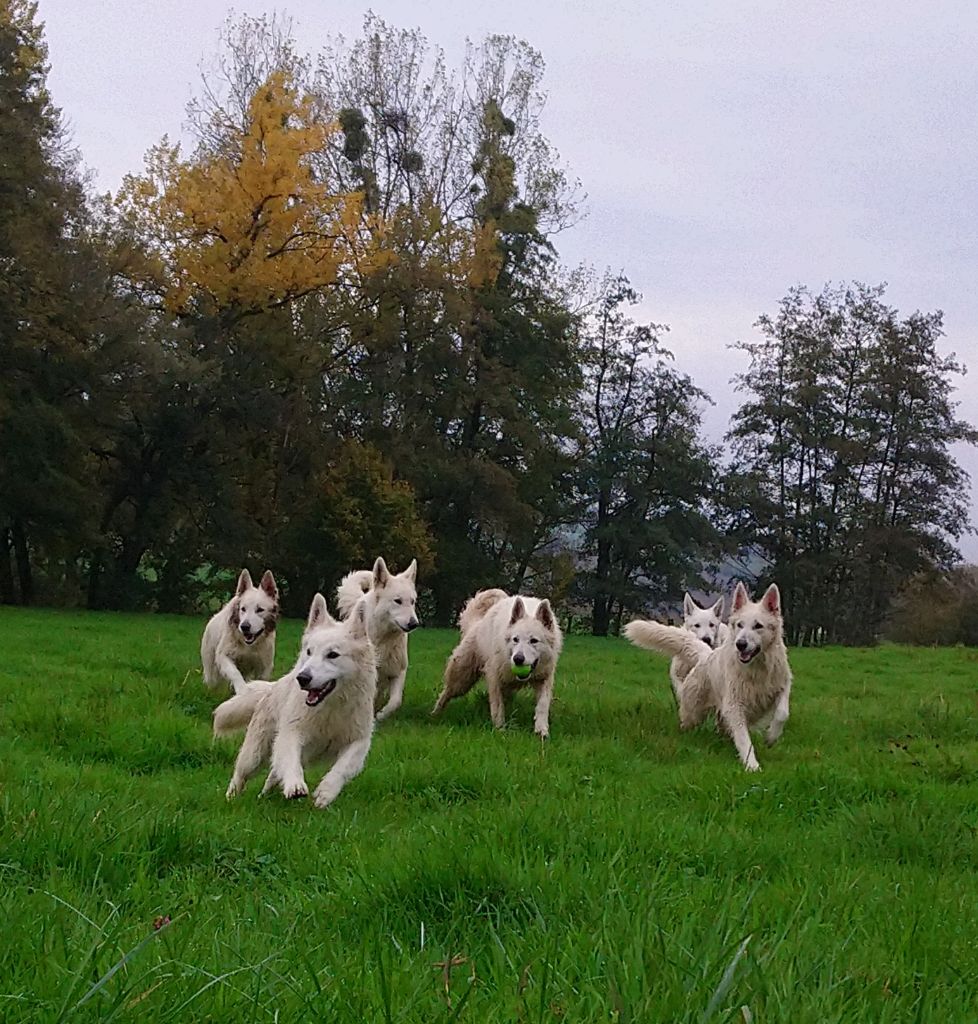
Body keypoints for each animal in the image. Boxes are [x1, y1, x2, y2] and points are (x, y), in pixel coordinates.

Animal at [216, 593, 376, 806]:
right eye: (309, 652)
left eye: (332, 654)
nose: (303, 678)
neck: (330, 707)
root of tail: (272, 688)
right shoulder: (292, 732)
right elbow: (291, 761)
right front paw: (295, 785)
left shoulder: (359, 740)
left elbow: (342, 768)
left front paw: (325, 793)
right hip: (255, 754)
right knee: (241, 773)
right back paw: (231, 797)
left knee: (274, 773)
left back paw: (264, 795)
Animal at [436, 593, 565, 737]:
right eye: (515, 639)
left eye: (534, 641)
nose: (518, 659)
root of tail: (478, 624)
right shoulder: (494, 678)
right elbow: (497, 706)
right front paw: (500, 730)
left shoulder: (544, 678)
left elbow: (543, 704)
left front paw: (541, 730)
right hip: (461, 680)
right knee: (446, 693)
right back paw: (435, 714)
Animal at [626, 585, 794, 770]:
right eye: (740, 625)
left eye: (758, 626)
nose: (740, 644)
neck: (756, 668)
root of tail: (705, 654)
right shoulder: (734, 705)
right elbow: (743, 738)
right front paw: (752, 765)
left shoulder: (782, 685)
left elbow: (782, 713)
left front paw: (771, 737)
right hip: (692, 713)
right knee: (686, 723)